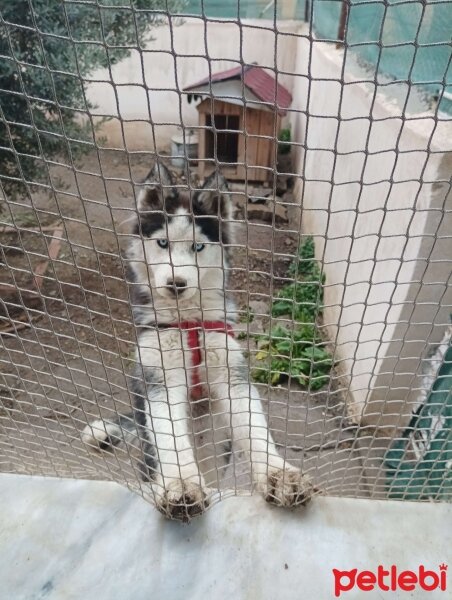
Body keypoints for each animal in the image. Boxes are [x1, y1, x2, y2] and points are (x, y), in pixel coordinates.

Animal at [82, 161, 314, 520]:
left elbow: (255, 429)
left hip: (216, 451)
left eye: (198, 247)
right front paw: (181, 484)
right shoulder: (160, 379)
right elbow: (172, 440)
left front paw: (279, 474)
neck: (189, 320)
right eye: (163, 243)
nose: (176, 283)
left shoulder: (231, 374)